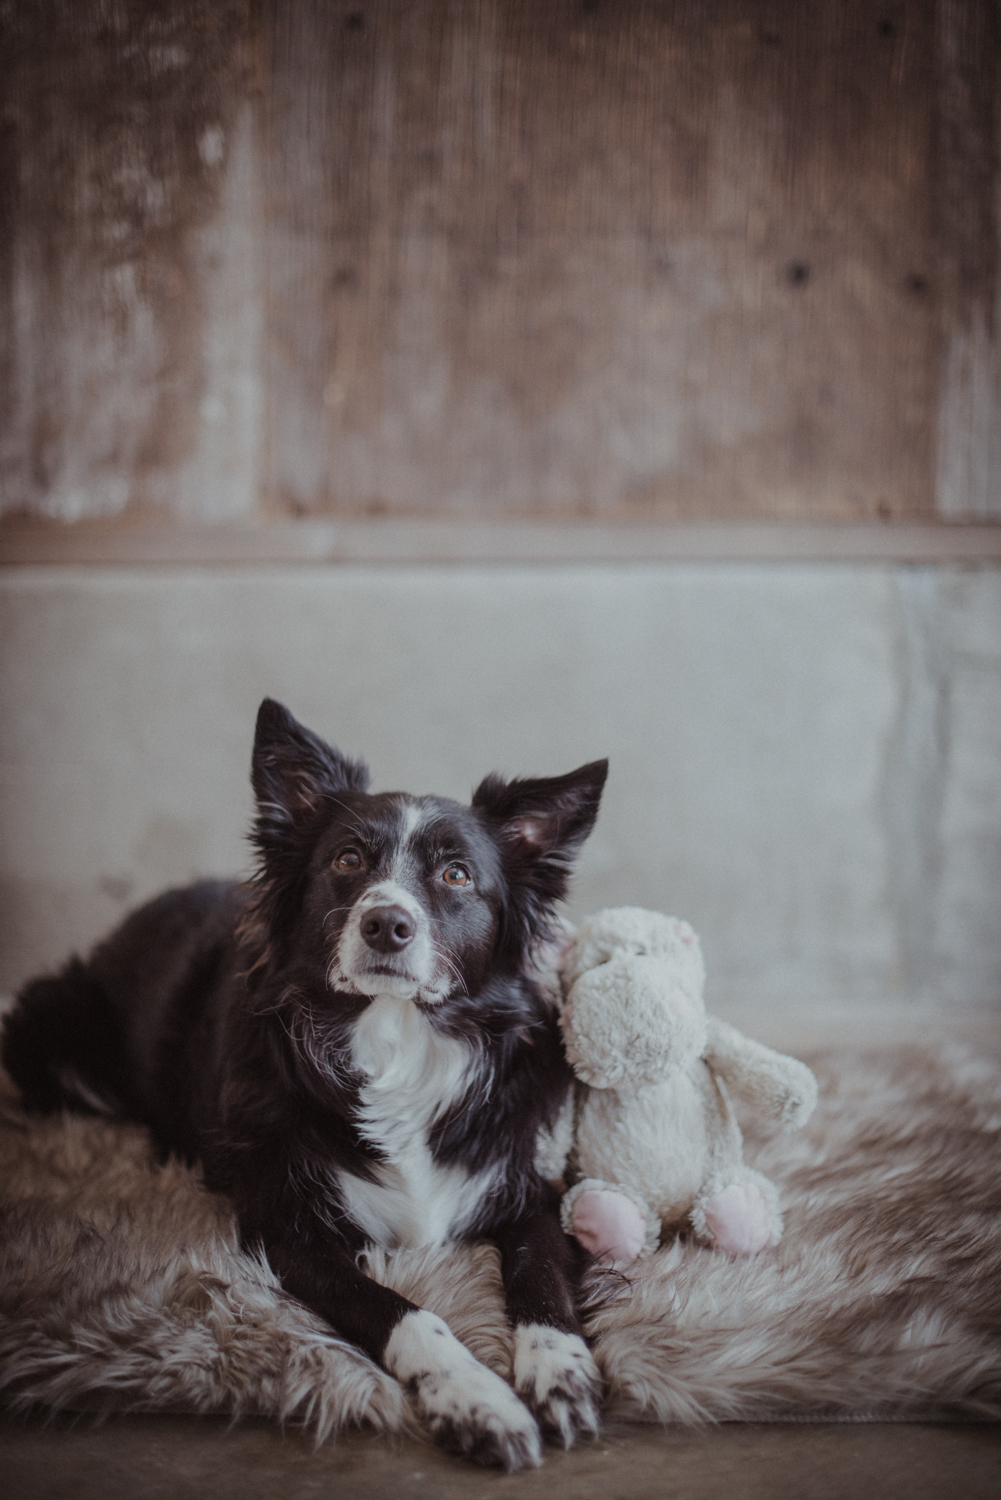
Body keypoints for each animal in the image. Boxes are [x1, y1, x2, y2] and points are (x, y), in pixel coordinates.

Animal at [1, 699, 612, 1464]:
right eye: (347, 860)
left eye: (456, 875)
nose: (386, 924)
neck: (396, 1041)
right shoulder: (286, 1230)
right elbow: (406, 1313)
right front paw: (476, 1399)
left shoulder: (528, 1190)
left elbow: (541, 1279)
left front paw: (560, 1373)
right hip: (45, 1028)